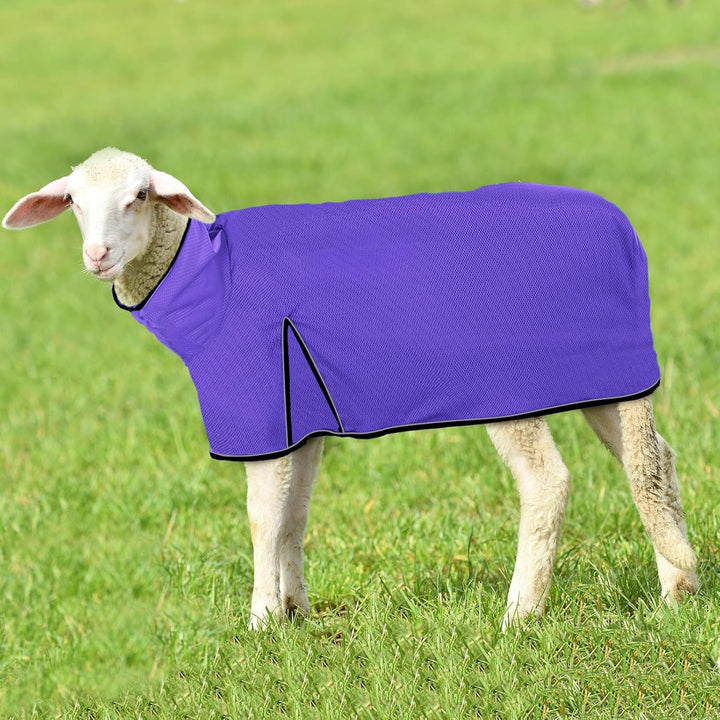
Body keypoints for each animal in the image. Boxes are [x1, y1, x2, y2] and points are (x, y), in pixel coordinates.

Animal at [2, 147, 698, 630]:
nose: (96, 257)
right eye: (73, 201)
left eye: (142, 194)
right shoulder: (300, 418)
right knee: (650, 462)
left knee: (549, 481)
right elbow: (294, 515)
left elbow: (260, 516)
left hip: (511, 380)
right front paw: (295, 612)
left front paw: (259, 622)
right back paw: (679, 588)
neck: (205, 278)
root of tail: (622, 235)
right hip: (609, 369)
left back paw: (519, 614)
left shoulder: (261, 404)